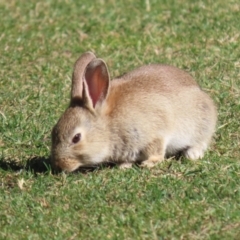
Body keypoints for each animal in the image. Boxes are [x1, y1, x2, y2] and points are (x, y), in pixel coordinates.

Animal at [51, 51, 218, 172]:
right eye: (53, 131)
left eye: (76, 138)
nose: (60, 165)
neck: (108, 125)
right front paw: (123, 166)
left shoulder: (155, 134)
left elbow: (157, 151)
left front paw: (149, 163)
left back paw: (192, 154)